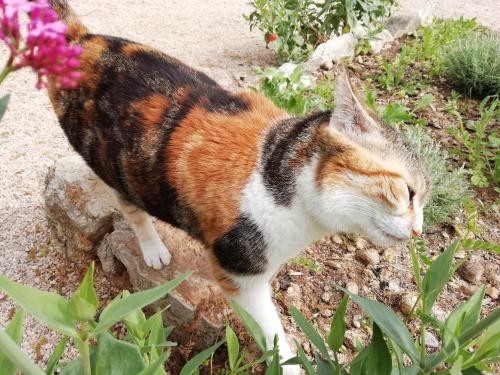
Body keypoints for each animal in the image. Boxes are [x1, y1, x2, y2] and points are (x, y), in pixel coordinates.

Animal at [46, 1, 430, 374]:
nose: (418, 231)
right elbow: (273, 334)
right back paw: (154, 249)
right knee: (130, 205)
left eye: (424, 200)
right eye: (408, 192)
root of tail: (84, 39)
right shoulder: (239, 274)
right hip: (115, 165)